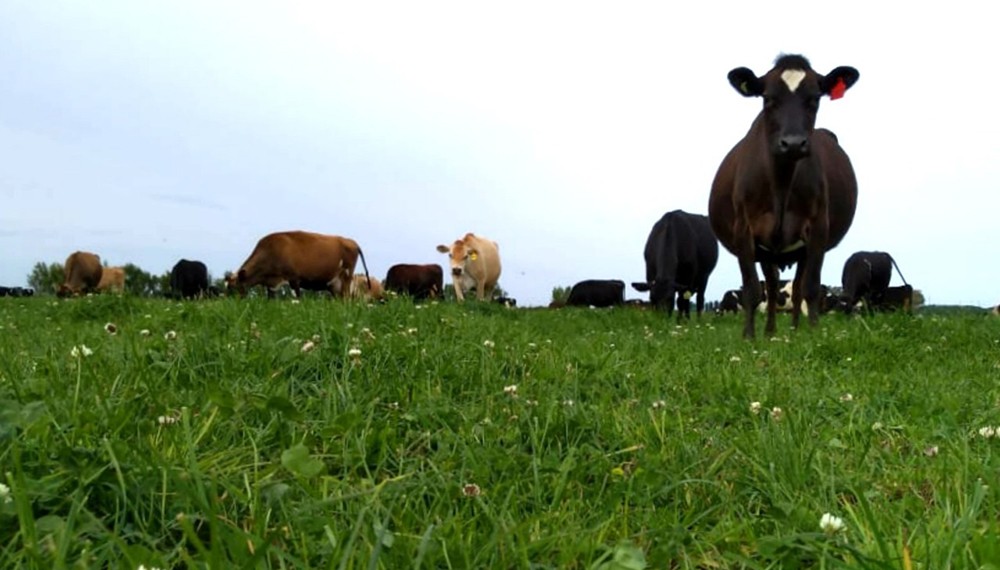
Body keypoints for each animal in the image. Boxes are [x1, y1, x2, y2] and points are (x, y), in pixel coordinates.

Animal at [230, 231, 370, 298]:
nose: (229, 303)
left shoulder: (294, 278)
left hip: (346, 277)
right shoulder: (271, 285)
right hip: (335, 284)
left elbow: (298, 297)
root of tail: (352, 241)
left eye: (234, 288)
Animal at [708, 54, 860, 338]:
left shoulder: (818, 228)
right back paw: (769, 333)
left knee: (797, 288)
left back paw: (794, 331)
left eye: (815, 98)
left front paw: (813, 335)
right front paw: (749, 337)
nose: (793, 143)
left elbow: (811, 287)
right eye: (768, 98)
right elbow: (752, 289)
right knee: (770, 284)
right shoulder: (744, 229)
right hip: (768, 252)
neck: (780, 185)